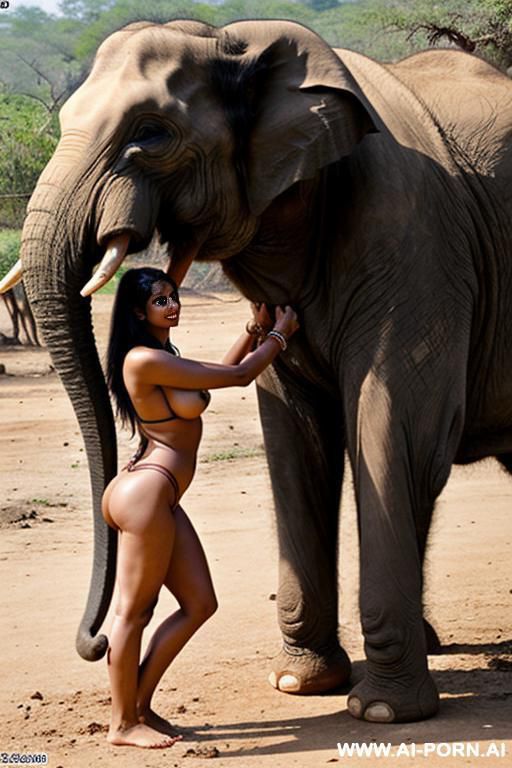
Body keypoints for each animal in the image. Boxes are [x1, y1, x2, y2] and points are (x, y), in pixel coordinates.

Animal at [3, 17, 512, 724]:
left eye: (151, 133)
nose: (94, 640)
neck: (235, 44)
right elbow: (294, 437)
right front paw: (301, 682)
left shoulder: (414, 236)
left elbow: (398, 429)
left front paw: (383, 711)